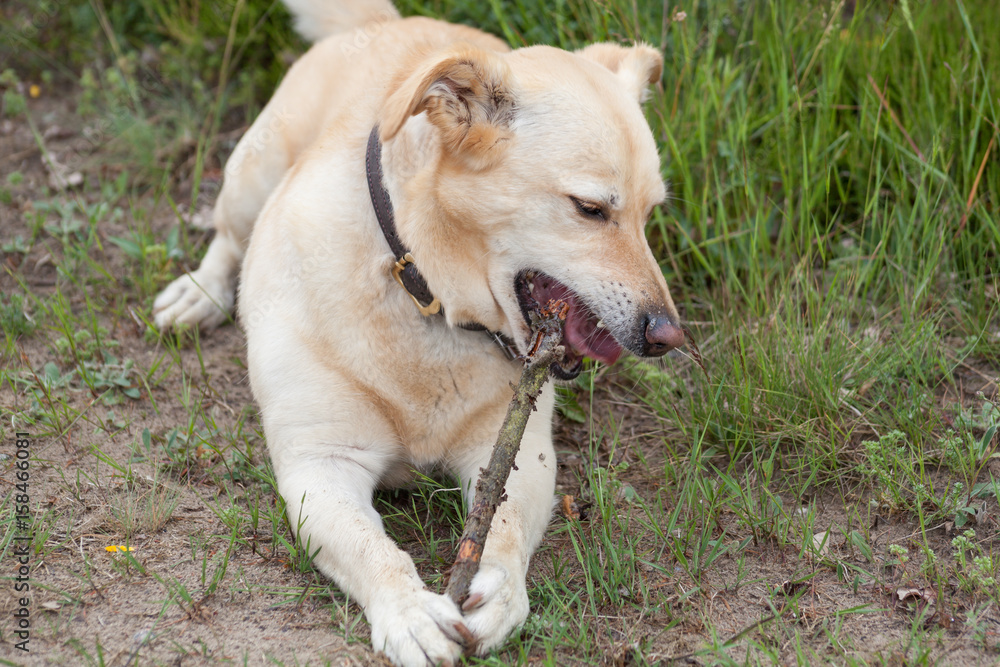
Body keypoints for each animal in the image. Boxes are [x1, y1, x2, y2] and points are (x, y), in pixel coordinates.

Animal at [154, 2, 688, 664]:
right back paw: (198, 294)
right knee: (228, 238)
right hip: (252, 176)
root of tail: (391, 20)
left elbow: (503, 530)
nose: (668, 336)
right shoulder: (321, 468)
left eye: (649, 215)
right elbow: (371, 549)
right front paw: (409, 611)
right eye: (589, 209)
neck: (426, 295)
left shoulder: (516, 456)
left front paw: (502, 591)